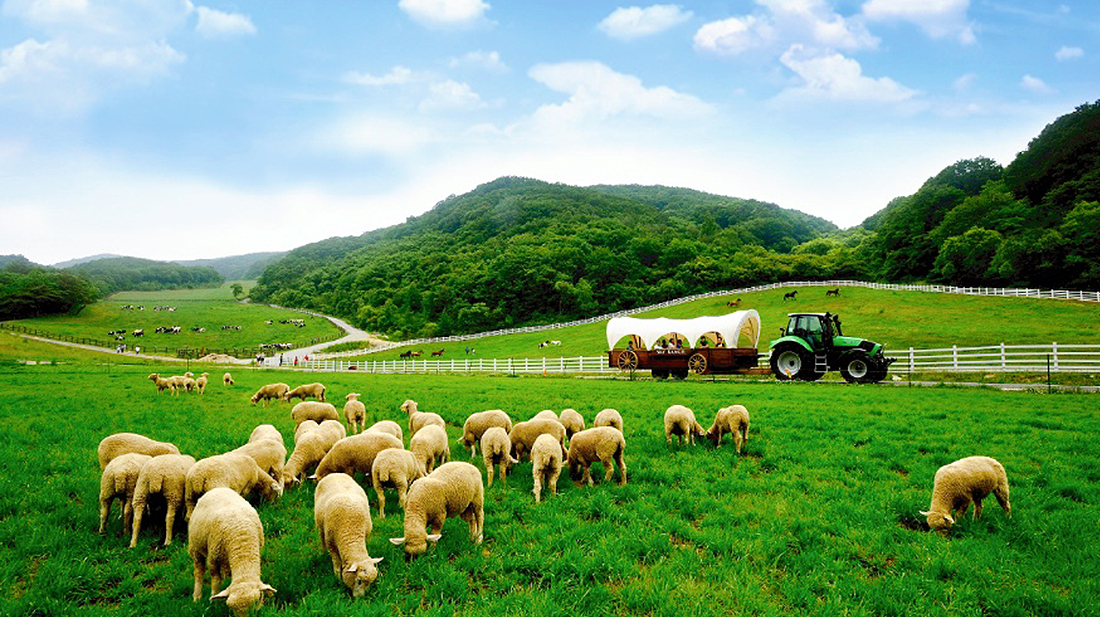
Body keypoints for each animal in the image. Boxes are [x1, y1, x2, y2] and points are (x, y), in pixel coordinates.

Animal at [314, 470, 387, 598]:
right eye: (359, 580)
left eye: (369, 583)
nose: (360, 599)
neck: (351, 531)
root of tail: (335, 473)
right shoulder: (331, 544)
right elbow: (337, 565)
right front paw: (337, 579)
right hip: (320, 525)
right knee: (321, 538)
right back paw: (322, 553)